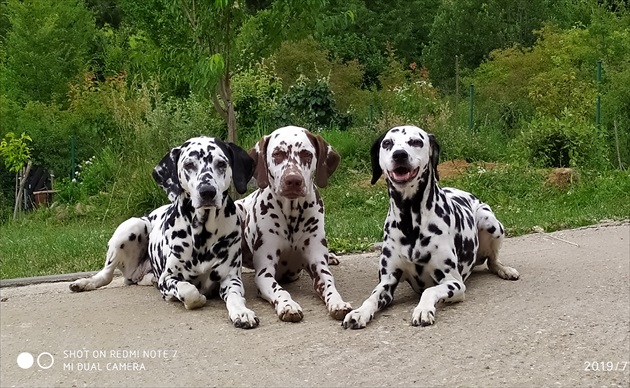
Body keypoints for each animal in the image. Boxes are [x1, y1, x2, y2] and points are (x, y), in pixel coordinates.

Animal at [71, 138, 262, 328]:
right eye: (189, 164)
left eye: (221, 163)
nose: (207, 191)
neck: (202, 235)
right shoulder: (169, 278)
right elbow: (189, 291)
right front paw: (196, 298)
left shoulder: (231, 278)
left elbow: (235, 297)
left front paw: (242, 312)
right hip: (132, 226)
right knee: (106, 275)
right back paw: (84, 282)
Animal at [238, 126, 354, 322]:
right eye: (277, 154)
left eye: (306, 154)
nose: (293, 180)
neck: (291, 215)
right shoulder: (264, 273)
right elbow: (280, 291)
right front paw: (288, 305)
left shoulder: (319, 266)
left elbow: (329, 285)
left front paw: (338, 302)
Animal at [344, 126, 520, 328]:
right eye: (387, 143)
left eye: (416, 141)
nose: (399, 155)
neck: (410, 220)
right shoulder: (387, 282)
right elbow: (372, 297)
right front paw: (359, 312)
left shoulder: (454, 282)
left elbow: (430, 290)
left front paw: (423, 309)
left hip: (489, 222)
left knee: (492, 261)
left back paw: (505, 270)